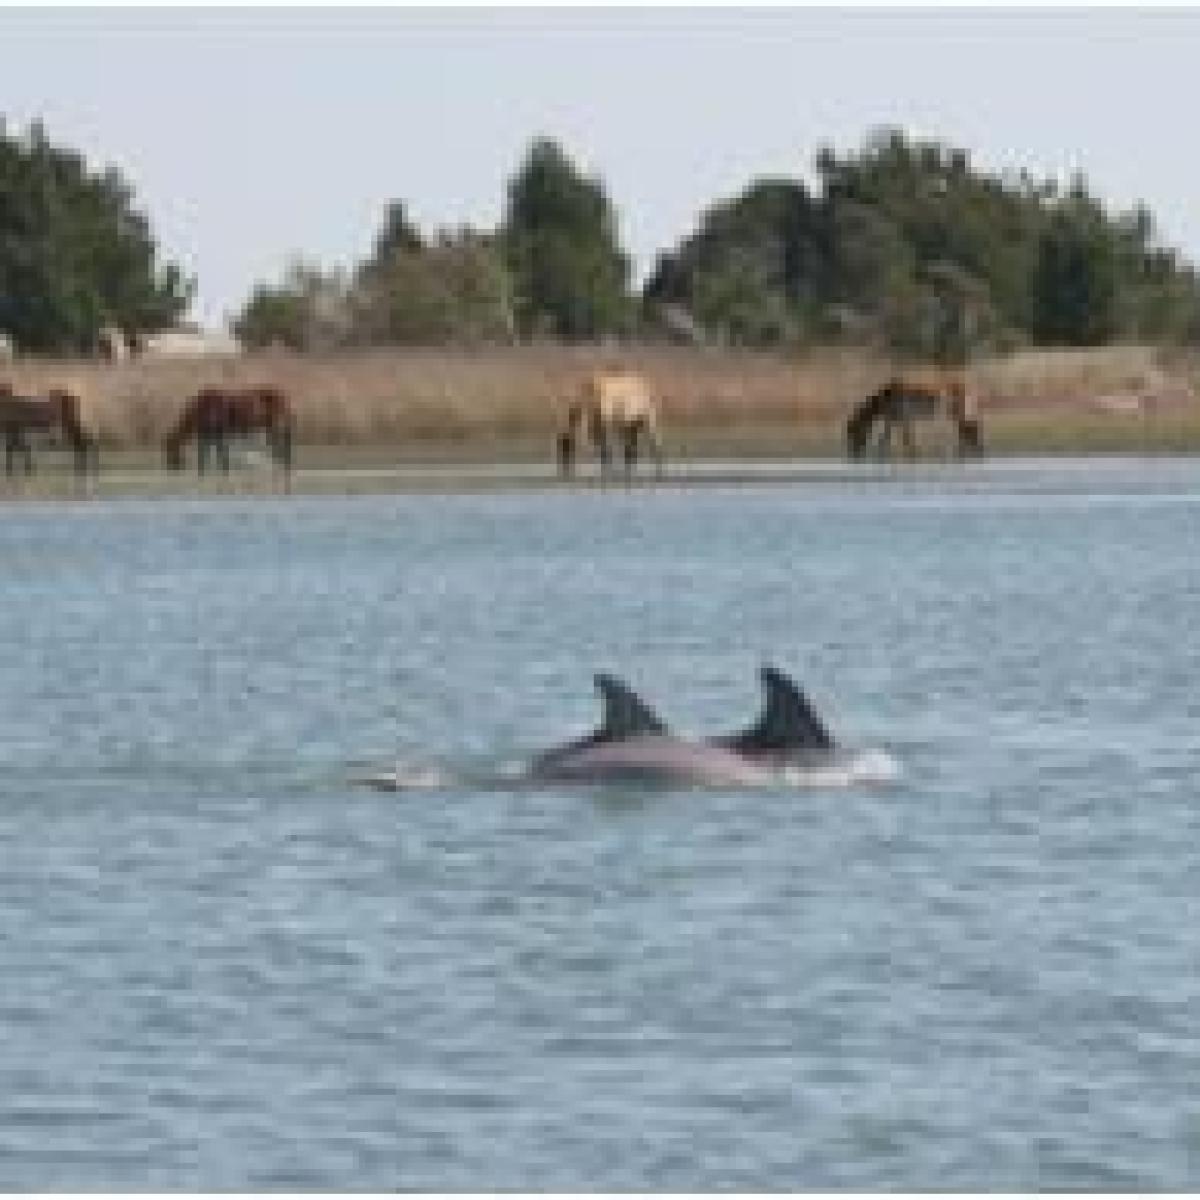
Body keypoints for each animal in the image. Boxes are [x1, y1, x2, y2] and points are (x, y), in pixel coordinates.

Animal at [164, 385, 293, 476]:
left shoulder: (217, 432)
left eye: (170, 449)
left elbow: (217, 452)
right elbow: (210, 452)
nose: (171, 468)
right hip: (270, 425)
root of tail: (281, 395)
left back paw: (285, 463)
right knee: (277, 441)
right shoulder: (210, 433)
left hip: (277, 423)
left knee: (285, 439)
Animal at [846, 370, 983, 461]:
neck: (886, 397)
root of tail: (963, 384)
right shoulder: (893, 421)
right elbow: (885, 439)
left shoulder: (903, 419)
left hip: (953, 413)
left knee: (970, 427)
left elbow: (905, 441)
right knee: (968, 428)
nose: (853, 454)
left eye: (853, 431)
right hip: (955, 414)